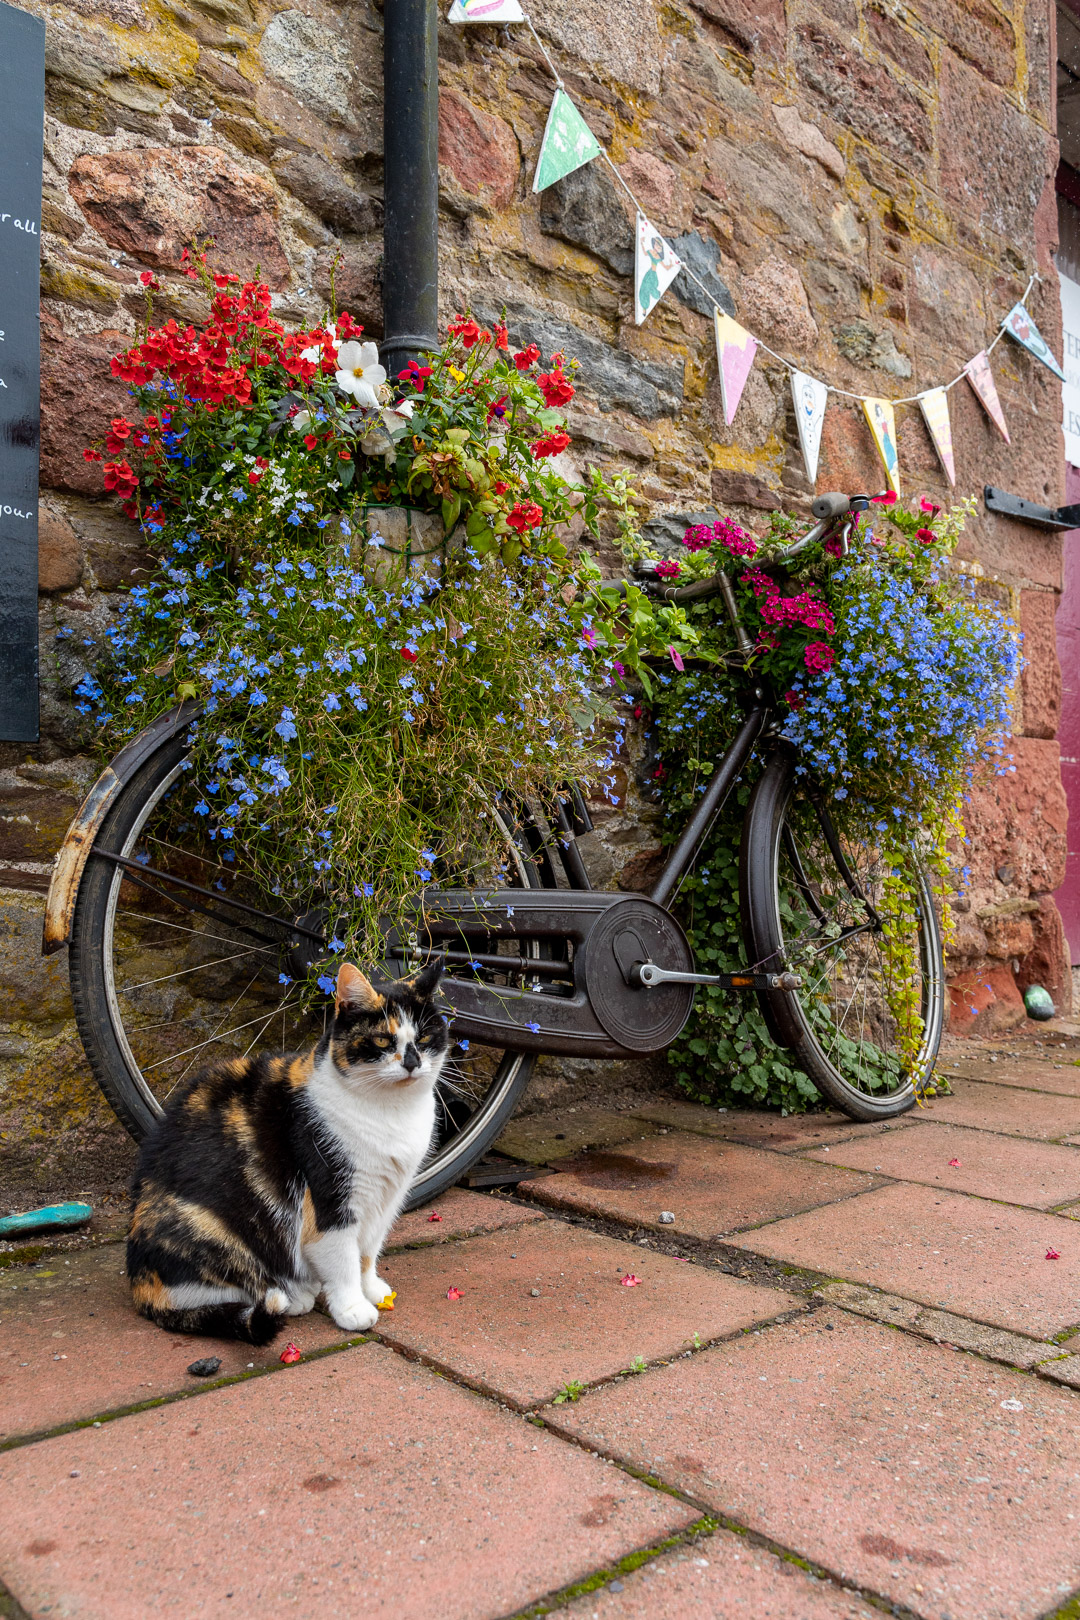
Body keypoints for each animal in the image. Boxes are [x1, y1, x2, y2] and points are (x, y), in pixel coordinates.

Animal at [127, 959, 446, 1341]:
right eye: (383, 1039)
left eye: (425, 1038)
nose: (412, 1063)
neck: (391, 1113)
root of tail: (139, 1284)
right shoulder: (330, 1196)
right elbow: (343, 1258)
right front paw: (352, 1307)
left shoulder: (385, 1197)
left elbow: (367, 1251)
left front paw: (372, 1289)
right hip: (209, 1225)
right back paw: (291, 1296)